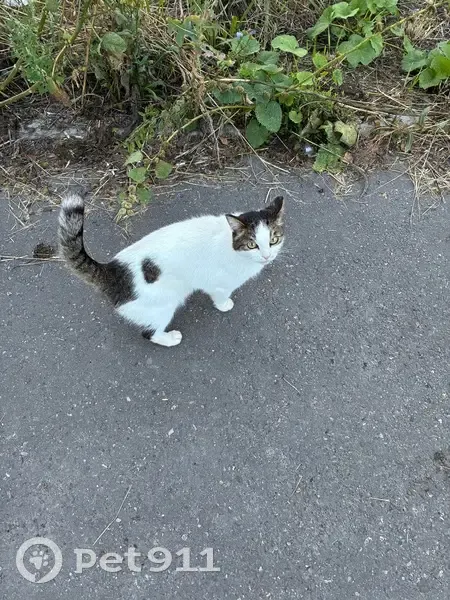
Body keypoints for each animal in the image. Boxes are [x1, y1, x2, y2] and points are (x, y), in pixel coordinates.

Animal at [58, 193, 285, 346]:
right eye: (252, 245)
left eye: (273, 240)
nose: (267, 256)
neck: (231, 244)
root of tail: (112, 270)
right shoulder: (218, 284)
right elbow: (220, 296)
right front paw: (224, 305)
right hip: (163, 305)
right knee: (149, 333)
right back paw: (170, 338)